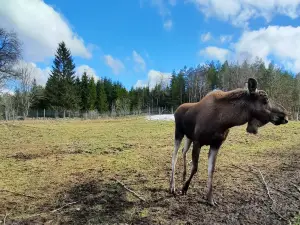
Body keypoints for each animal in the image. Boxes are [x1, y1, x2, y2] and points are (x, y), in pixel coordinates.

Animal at [169, 77, 288, 206]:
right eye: (265, 99)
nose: (285, 116)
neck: (225, 121)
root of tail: (176, 110)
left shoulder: (216, 144)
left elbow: (211, 170)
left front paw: (210, 199)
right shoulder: (198, 141)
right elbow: (195, 168)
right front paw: (184, 189)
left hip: (188, 137)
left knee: (183, 151)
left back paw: (183, 176)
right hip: (179, 133)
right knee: (174, 156)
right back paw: (172, 187)